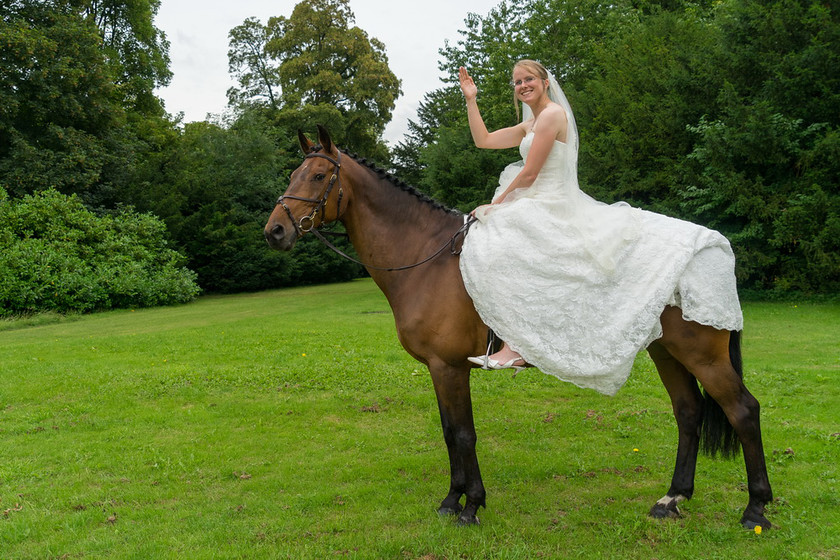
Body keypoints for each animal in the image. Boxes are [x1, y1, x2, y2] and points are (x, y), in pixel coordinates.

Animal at [266, 126, 772, 528]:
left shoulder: (449, 367)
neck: (425, 258)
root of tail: (713, 246)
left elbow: (463, 434)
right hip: (665, 350)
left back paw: (756, 510)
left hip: (702, 354)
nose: (274, 231)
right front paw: (452, 501)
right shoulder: (439, 368)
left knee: (743, 410)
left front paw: (471, 506)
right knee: (688, 412)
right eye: (292, 175)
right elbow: (448, 432)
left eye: (318, 176)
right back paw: (672, 499)